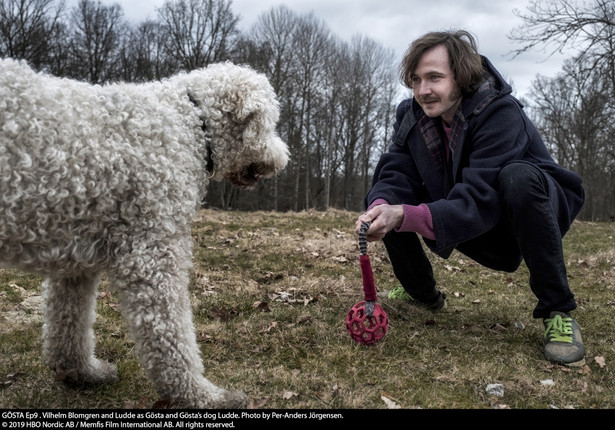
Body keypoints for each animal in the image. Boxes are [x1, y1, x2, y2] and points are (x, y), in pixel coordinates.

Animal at [0, 58, 288, 408]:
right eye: (270, 122)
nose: (282, 160)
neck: (191, 120)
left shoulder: (76, 261)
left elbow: (69, 322)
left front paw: (80, 372)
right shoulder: (153, 252)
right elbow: (172, 336)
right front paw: (200, 395)